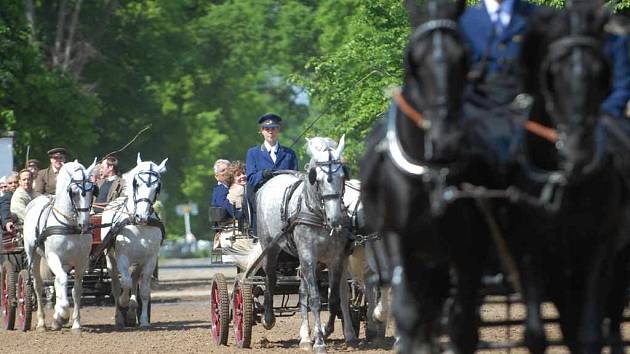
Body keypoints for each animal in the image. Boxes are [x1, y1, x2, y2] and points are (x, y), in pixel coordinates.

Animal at [23, 159, 98, 330]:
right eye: (74, 192)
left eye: (92, 191)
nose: (84, 224)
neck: (69, 226)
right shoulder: (53, 257)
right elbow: (63, 280)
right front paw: (63, 314)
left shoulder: (82, 260)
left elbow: (76, 289)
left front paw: (74, 323)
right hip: (33, 254)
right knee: (38, 285)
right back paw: (42, 322)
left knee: (57, 282)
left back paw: (56, 320)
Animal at [101, 154, 167, 330]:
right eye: (136, 183)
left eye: (157, 187)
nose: (142, 216)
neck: (138, 226)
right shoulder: (122, 257)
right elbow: (125, 282)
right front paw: (123, 303)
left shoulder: (150, 259)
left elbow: (143, 291)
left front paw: (143, 320)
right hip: (111, 260)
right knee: (117, 285)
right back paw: (120, 316)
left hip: (138, 262)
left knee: (135, 279)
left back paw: (131, 312)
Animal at [256, 136, 356, 354]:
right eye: (316, 179)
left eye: (343, 176)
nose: (335, 219)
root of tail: (273, 179)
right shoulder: (308, 255)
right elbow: (316, 299)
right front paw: (319, 341)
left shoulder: (335, 258)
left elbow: (334, 298)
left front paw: (325, 331)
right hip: (270, 246)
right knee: (270, 279)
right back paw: (269, 318)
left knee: (302, 292)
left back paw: (305, 337)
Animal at [360, 1, 498, 352]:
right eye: (415, 59)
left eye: (464, 56)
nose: (445, 136)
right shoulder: (398, 240)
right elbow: (408, 310)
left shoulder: (467, 248)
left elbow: (462, 320)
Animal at [512, 1, 630, 352]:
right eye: (550, 75)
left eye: (601, 73)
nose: (577, 153)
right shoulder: (534, 254)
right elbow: (537, 334)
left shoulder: (599, 251)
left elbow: (591, 334)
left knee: (612, 321)